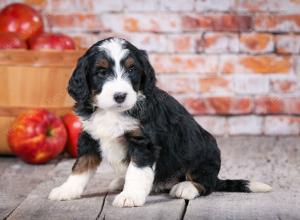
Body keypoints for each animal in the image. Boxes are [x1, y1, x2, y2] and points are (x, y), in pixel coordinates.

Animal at [47, 37, 272, 207]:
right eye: (101, 72)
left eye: (131, 70)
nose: (120, 96)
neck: (112, 112)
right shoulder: (89, 136)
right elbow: (80, 167)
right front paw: (66, 190)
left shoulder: (144, 142)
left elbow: (137, 171)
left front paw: (130, 196)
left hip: (205, 152)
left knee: (205, 183)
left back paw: (185, 187)